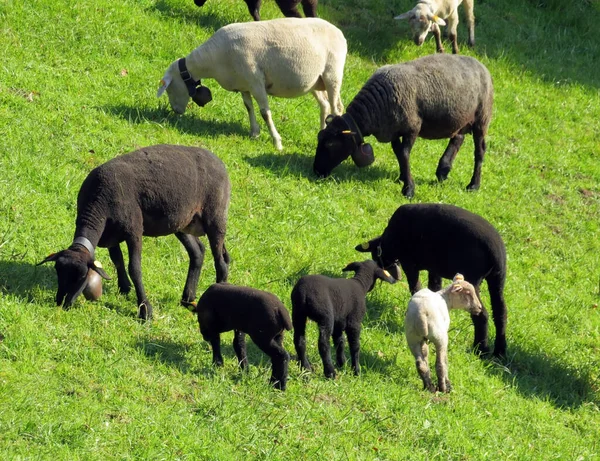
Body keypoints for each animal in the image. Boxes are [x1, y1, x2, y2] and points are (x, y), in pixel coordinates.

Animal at [37, 144, 230, 320]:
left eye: (82, 276)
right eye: (58, 271)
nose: (61, 303)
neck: (97, 203)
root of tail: (218, 161)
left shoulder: (134, 230)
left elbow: (134, 268)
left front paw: (145, 310)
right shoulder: (110, 235)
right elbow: (117, 260)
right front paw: (124, 288)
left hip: (216, 217)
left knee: (221, 262)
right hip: (182, 222)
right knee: (197, 252)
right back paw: (187, 298)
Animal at [157, 17, 346, 150]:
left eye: (170, 88)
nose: (176, 111)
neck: (214, 59)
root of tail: (339, 32)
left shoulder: (256, 81)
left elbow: (265, 113)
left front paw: (277, 142)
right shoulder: (244, 85)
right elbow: (248, 107)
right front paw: (254, 133)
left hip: (332, 74)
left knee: (336, 109)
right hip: (315, 81)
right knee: (325, 105)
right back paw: (321, 134)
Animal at [312, 54, 494, 198]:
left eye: (330, 144)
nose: (316, 171)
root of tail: (481, 65)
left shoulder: (412, 128)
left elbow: (404, 153)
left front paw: (409, 189)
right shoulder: (392, 130)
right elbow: (398, 152)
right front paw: (402, 177)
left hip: (481, 119)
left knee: (479, 150)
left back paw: (473, 185)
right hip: (459, 118)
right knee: (458, 138)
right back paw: (443, 170)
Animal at [356, 203, 506, 358]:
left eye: (376, 257)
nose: (396, 277)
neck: (389, 239)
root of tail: (495, 251)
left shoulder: (410, 264)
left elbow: (415, 287)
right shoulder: (434, 269)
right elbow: (434, 288)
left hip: (473, 279)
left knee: (482, 314)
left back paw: (481, 349)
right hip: (497, 279)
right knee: (500, 313)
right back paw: (499, 352)